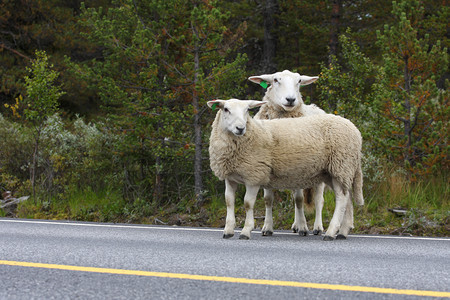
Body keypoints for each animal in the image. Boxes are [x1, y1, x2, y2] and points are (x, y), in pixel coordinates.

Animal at [207, 98, 362, 241]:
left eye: (247, 110)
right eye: (226, 109)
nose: (240, 128)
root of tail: (354, 129)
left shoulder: (254, 176)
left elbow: (248, 203)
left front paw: (246, 231)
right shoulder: (230, 177)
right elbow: (229, 201)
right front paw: (228, 231)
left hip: (341, 165)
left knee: (341, 198)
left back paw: (330, 232)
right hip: (334, 171)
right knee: (347, 198)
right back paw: (343, 232)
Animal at [248, 70, 328, 237]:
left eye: (299, 81)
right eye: (275, 80)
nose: (291, 99)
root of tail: (316, 108)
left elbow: (299, 199)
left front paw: (304, 227)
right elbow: (268, 199)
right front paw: (267, 227)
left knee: (318, 199)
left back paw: (317, 227)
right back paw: (295, 225)